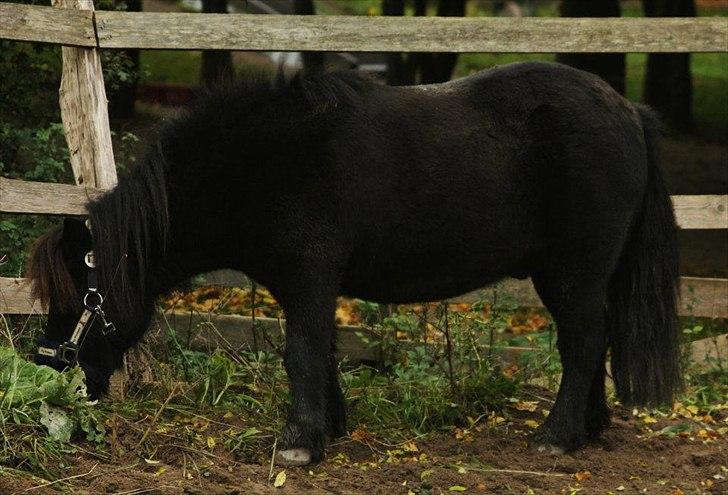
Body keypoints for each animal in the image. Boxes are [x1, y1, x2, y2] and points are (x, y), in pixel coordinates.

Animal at [26, 61, 681, 466]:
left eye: (77, 294)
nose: (48, 364)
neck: (264, 165)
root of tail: (630, 112)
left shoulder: (309, 279)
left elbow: (301, 354)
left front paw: (300, 442)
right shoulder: (309, 287)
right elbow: (321, 352)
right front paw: (328, 426)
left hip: (573, 273)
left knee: (582, 342)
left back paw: (556, 436)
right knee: (590, 341)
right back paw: (586, 429)